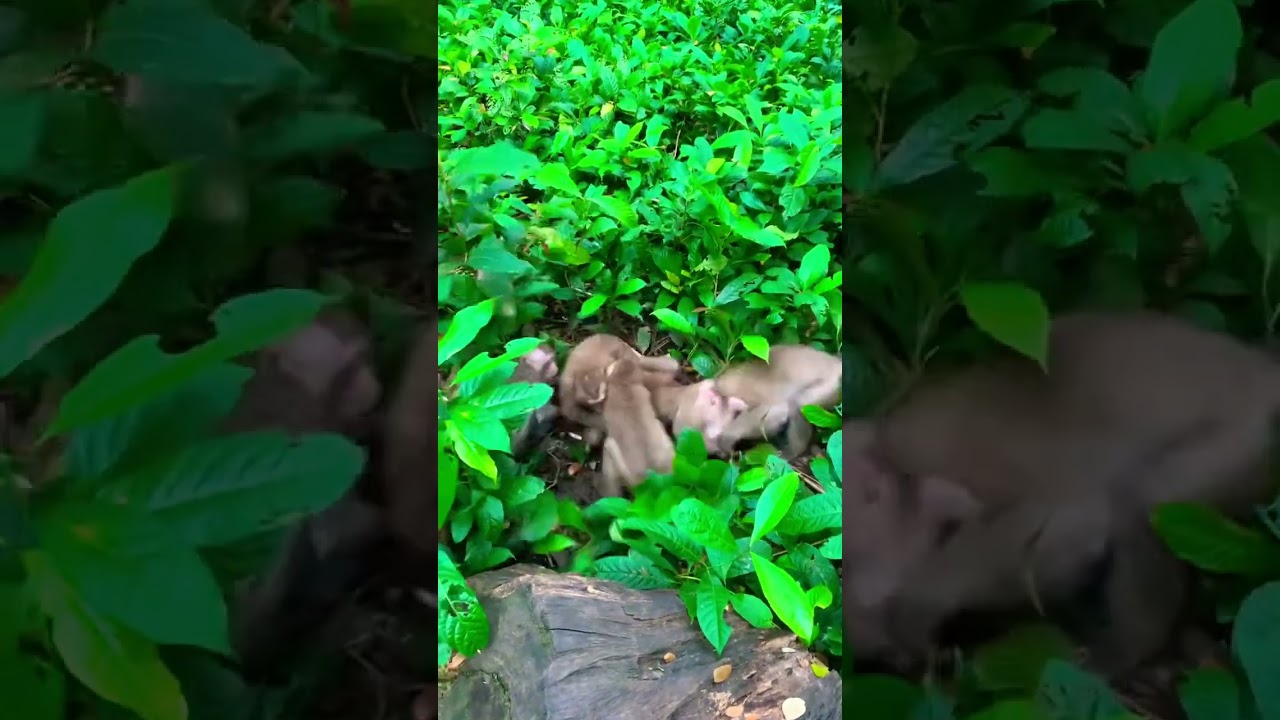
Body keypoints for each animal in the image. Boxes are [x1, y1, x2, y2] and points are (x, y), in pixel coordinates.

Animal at [841, 310, 1280, 675]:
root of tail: (1261, 369)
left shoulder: (940, 455)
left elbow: (1065, 533)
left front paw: (916, 612)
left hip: (1246, 439)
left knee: (1147, 497)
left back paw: (1127, 648)